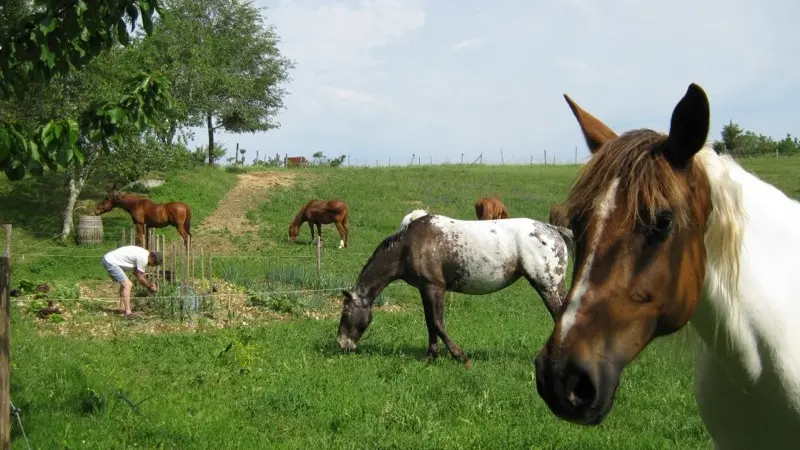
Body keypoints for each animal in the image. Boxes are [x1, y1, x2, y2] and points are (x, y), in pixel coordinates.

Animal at [338, 213, 576, 368]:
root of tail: (554, 229)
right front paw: (431, 357)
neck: (408, 246)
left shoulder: (435, 288)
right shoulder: (425, 289)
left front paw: (461, 357)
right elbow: (429, 323)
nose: (342, 344)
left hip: (547, 287)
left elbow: (437, 323)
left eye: (345, 312)